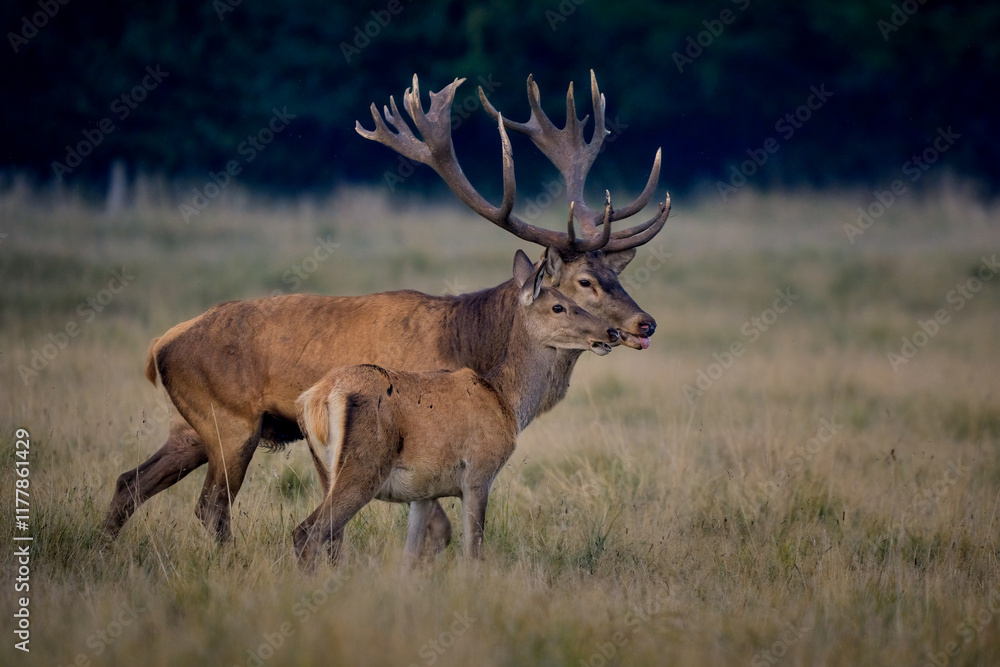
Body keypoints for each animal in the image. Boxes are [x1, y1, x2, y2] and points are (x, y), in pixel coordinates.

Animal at [294, 249, 617, 568]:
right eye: (558, 307)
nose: (610, 333)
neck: (506, 400)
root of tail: (316, 398)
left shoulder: (424, 492)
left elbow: (410, 557)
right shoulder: (478, 475)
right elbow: (473, 552)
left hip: (325, 470)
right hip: (362, 470)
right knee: (307, 532)